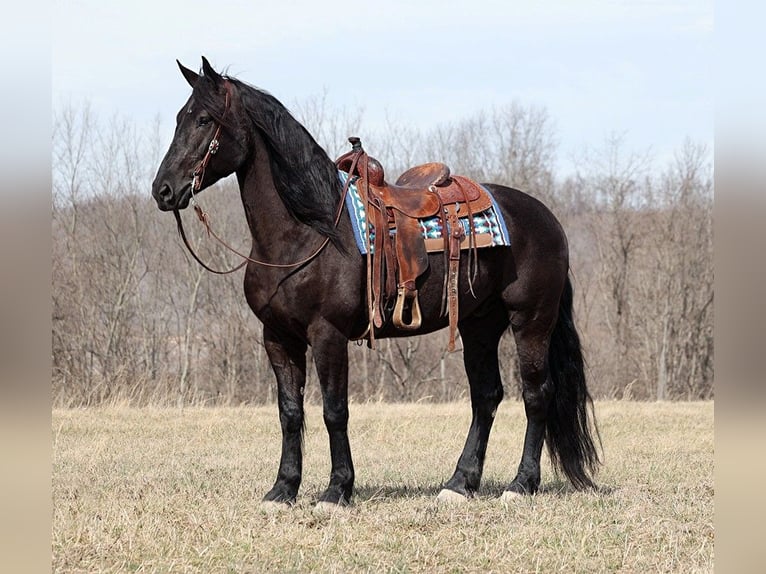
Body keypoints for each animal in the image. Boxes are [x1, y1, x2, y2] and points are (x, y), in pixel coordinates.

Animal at [153, 57, 604, 508]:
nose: (163, 190)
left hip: (531, 322)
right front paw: (282, 489)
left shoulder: (328, 335)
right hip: (479, 326)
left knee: (536, 395)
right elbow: (289, 412)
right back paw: (460, 483)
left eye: (204, 119)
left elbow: (334, 411)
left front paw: (337, 489)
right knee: (486, 397)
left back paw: (521, 483)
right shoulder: (278, 337)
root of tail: (547, 218)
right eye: (178, 118)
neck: (305, 233)